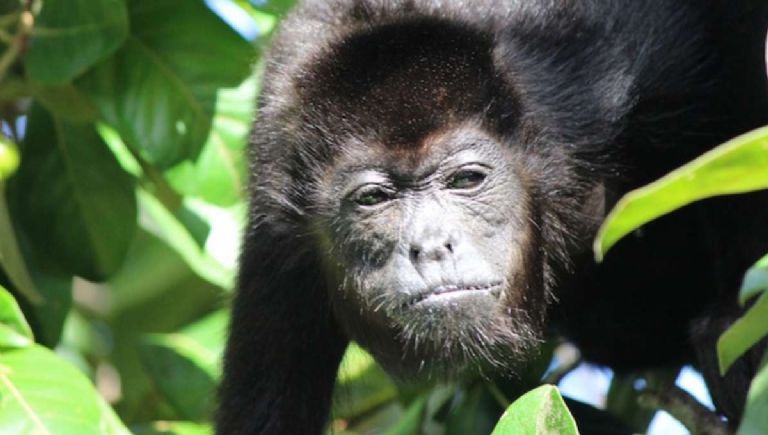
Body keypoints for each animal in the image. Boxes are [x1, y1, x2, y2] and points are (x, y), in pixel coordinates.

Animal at [214, 1, 768, 434]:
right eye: (373, 197)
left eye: (466, 180)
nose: (432, 247)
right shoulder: (279, 232)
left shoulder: (591, 72)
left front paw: (737, 322)